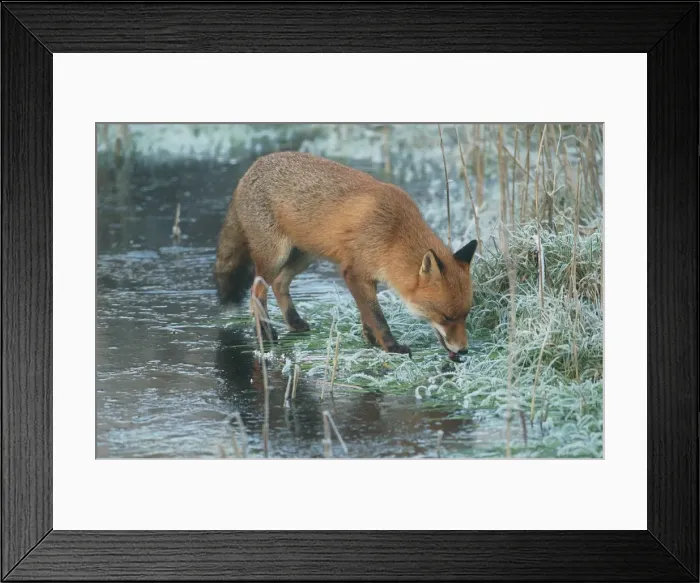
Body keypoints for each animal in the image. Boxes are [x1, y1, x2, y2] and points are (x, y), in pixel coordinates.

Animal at [214, 151, 478, 358]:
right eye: (446, 317)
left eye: (465, 315)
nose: (464, 350)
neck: (393, 234)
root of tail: (251, 169)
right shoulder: (353, 272)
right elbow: (377, 316)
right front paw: (391, 347)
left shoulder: (366, 276)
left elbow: (366, 314)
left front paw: (371, 340)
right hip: (275, 258)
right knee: (256, 292)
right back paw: (266, 333)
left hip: (303, 257)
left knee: (279, 284)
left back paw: (294, 322)